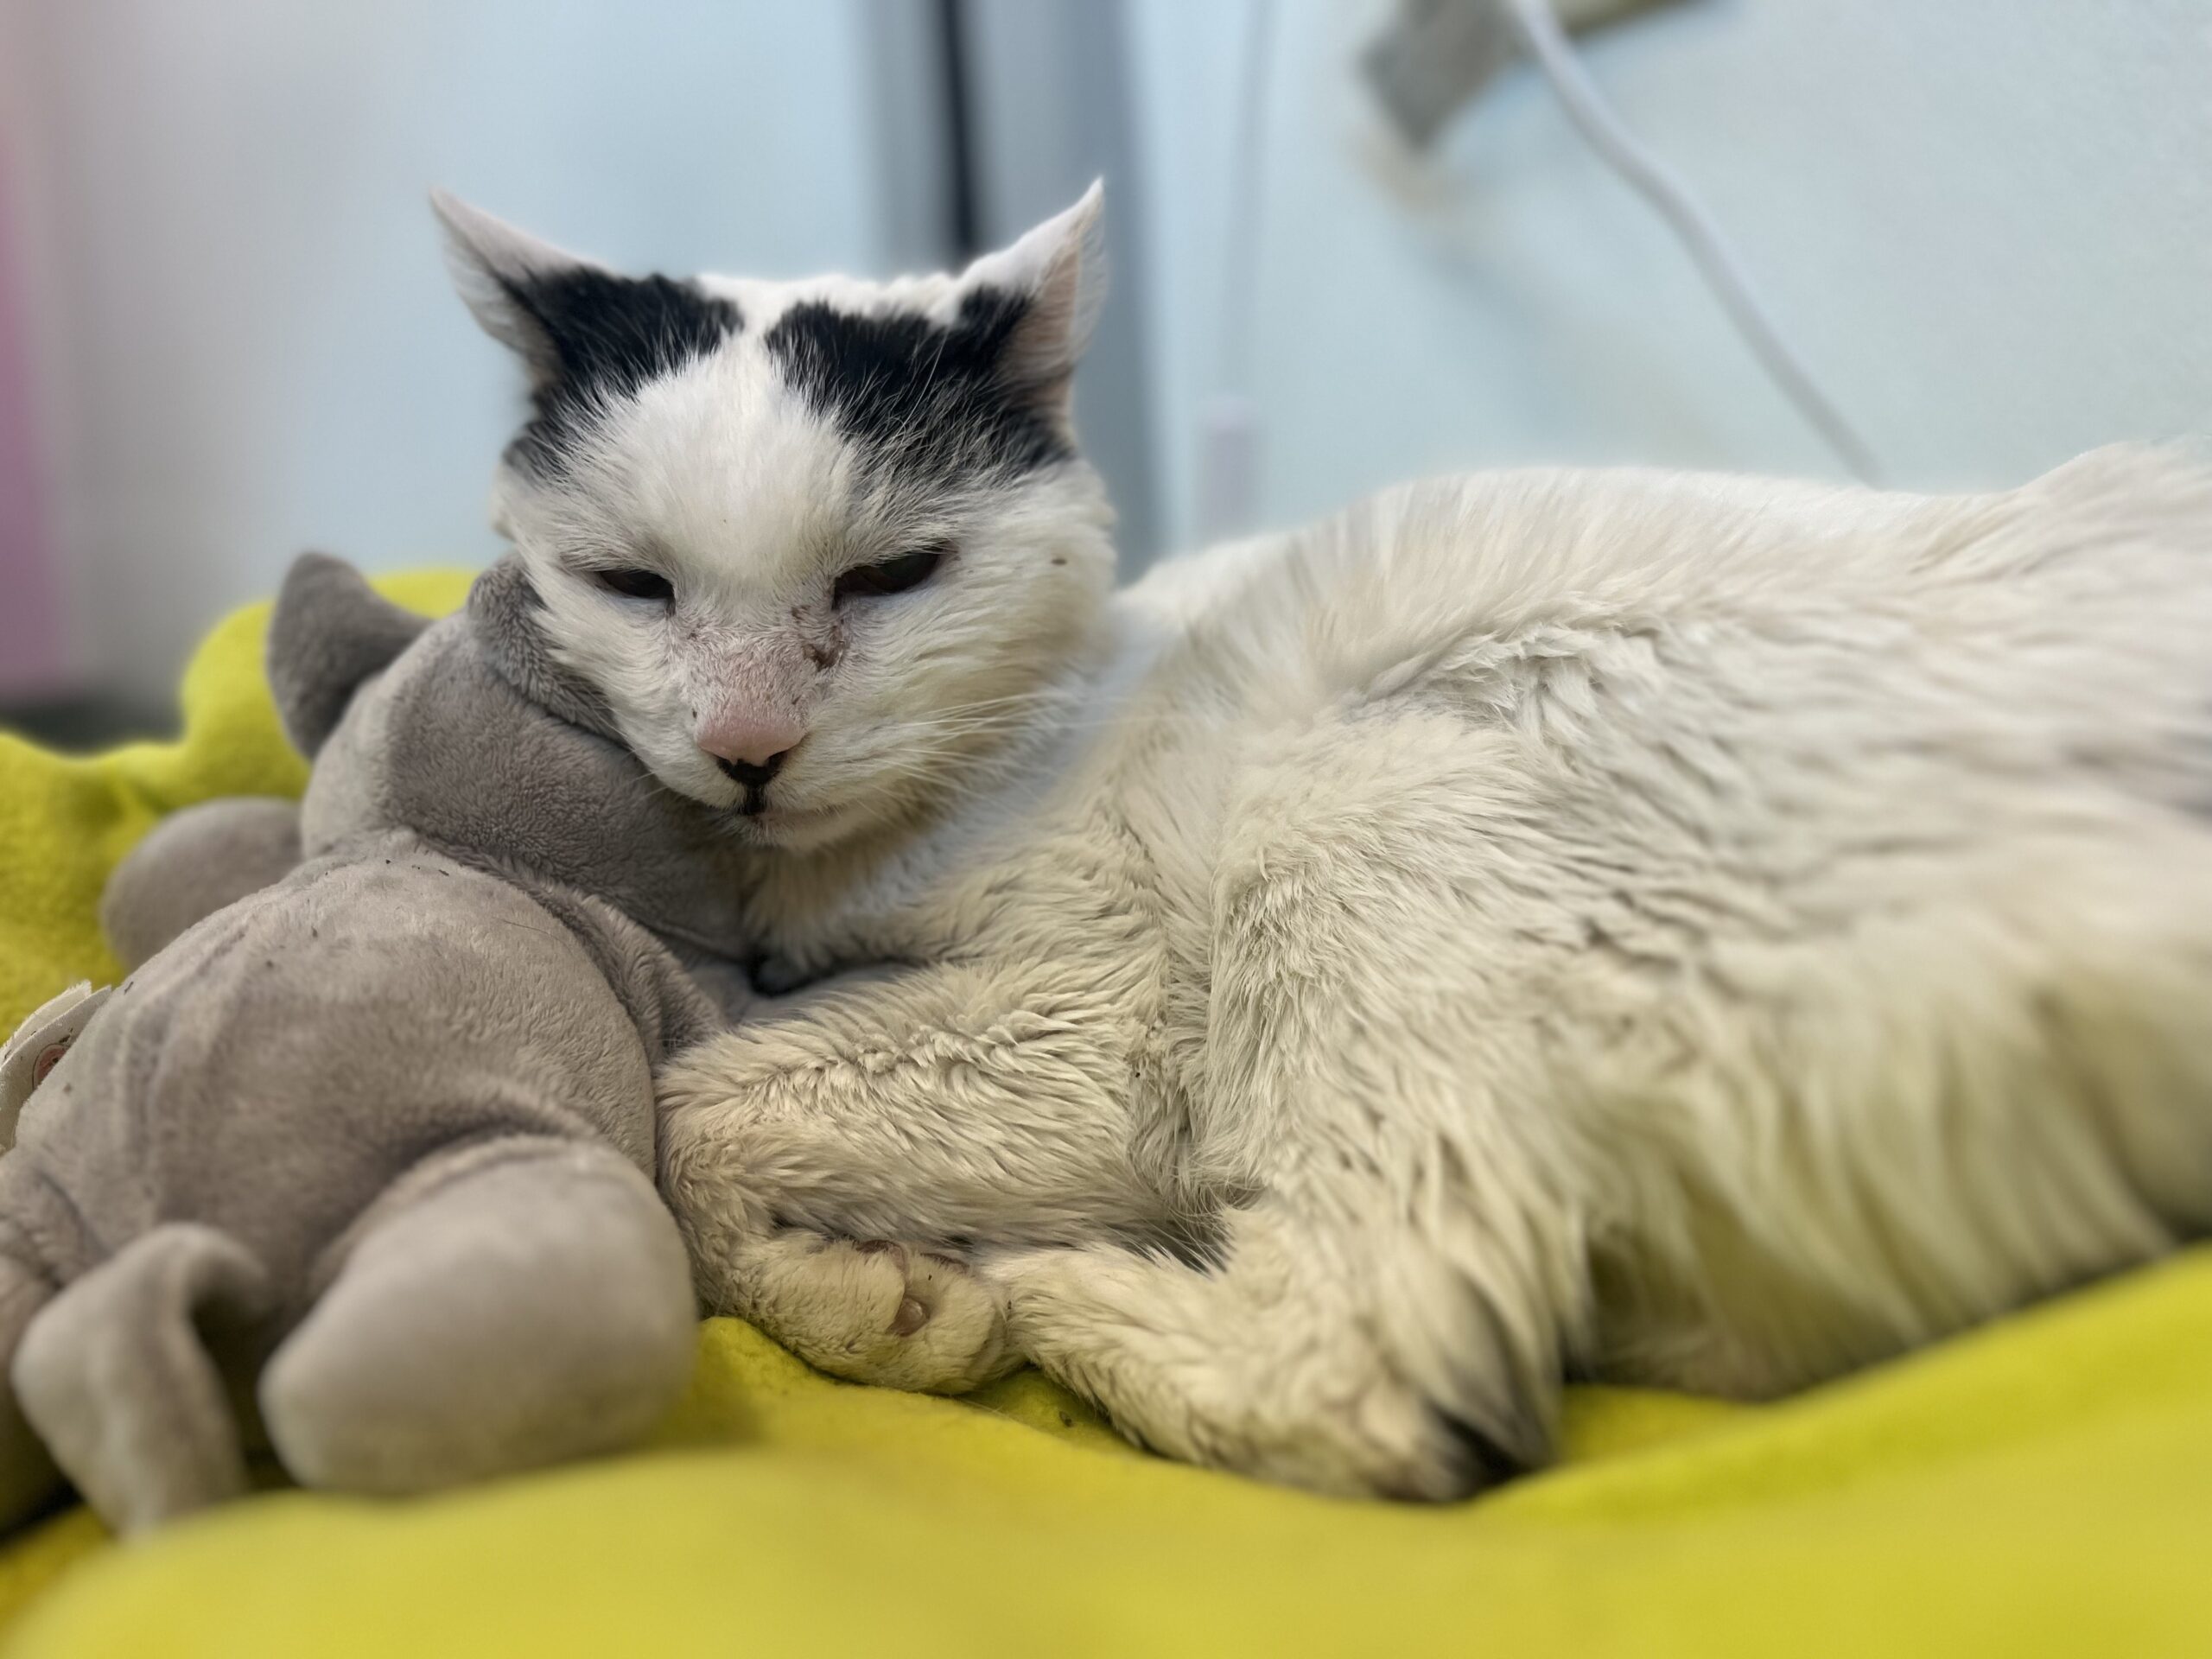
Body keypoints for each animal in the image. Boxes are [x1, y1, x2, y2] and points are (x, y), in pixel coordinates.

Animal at [431, 188, 2212, 1503]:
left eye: (891, 578)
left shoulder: (1103, 1028)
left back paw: (1074, 1284)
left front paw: (889, 1304)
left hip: (1360, 795)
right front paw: (880, 1285)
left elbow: (685, 1113)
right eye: (632, 586)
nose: (747, 749)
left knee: (1385, 1378)